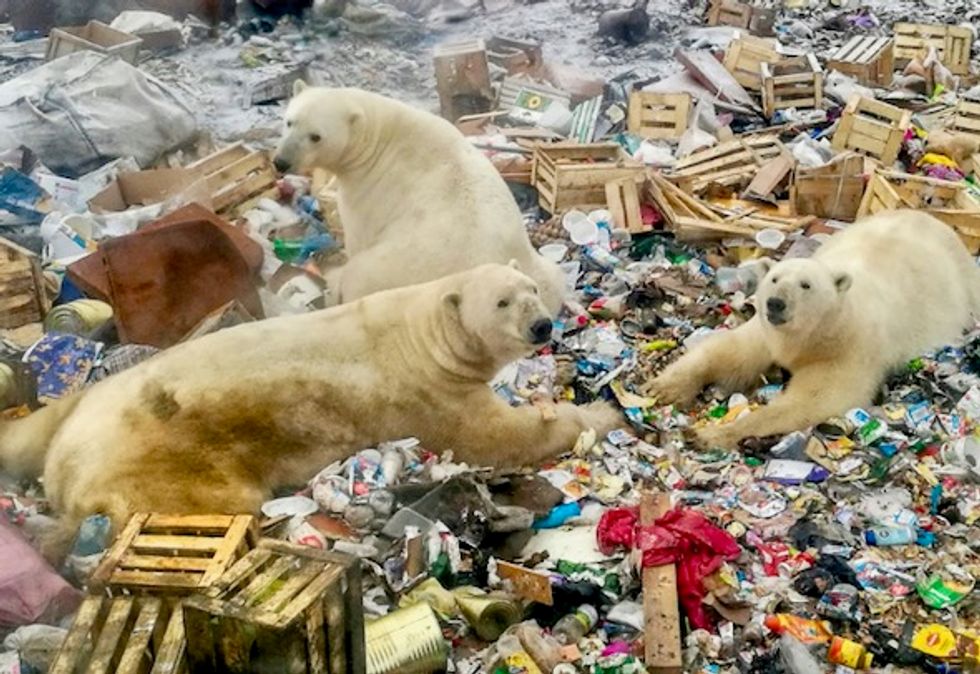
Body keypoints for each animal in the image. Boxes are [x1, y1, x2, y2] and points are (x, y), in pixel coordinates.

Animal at [0, 264, 621, 560]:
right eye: (501, 302)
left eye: (531, 288)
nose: (541, 325)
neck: (425, 337)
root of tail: (65, 469)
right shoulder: (429, 395)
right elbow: (496, 437)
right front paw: (602, 417)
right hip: (162, 464)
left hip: (81, 403)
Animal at [272, 83, 567, 312]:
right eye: (289, 121)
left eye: (316, 136)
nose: (281, 162)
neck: (379, 134)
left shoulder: (367, 189)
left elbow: (357, 235)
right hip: (537, 268)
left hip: (387, 271)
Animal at [649, 210, 980, 449]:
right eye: (774, 278)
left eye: (805, 285)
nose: (775, 303)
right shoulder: (767, 334)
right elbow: (728, 353)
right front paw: (664, 388)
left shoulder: (847, 350)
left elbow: (813, 400)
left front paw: (710, 435)